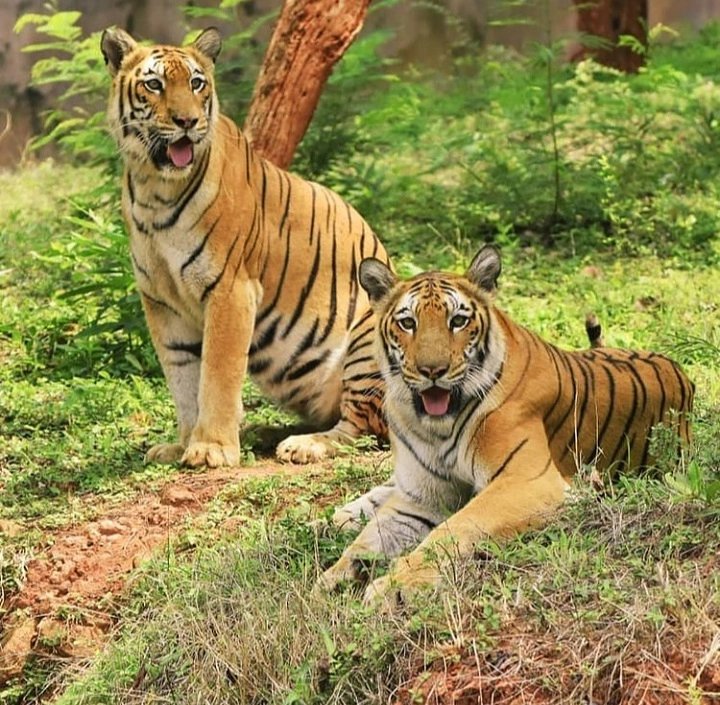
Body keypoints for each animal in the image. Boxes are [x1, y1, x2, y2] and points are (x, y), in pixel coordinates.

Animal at [100, 27, 390, 467]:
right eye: (154, 85)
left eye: (196, 83)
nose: (187, 121)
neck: (156, 189)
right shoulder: (161, 301)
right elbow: (182, 377)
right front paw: (184, 443)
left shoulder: (230, 289)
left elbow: (217, 374)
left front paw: (211, 448)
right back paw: (261, 431)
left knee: (365, 427)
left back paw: (303, 445)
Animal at [318, 244, 694, 605]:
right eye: (408, 323)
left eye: (458, 320)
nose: (432, 370)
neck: (437, 427)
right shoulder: (421, 497)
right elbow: (369, 539)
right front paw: (335, 576)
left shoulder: (527, 484)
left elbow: (455, 528)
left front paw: (396, 586)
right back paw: (344, 514)